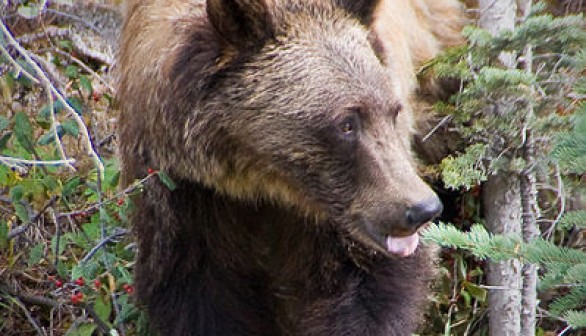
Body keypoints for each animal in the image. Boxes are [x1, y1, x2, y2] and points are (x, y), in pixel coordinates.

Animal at [115, 0, 460, 336]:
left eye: (393, 110)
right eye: (346, 123)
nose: (422, 208)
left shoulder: (334, 215)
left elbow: (369, 286)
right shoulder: (188, 195)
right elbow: (200, 292)